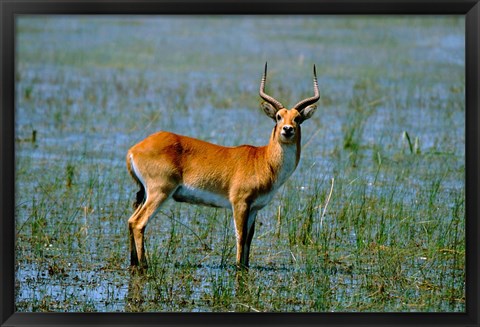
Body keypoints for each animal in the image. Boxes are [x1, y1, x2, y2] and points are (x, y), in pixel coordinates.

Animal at [127, 62, 320, 270]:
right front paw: (238, 267)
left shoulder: (254, 208)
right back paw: (144, 266)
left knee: (131, 220)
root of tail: (134, 149)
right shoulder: (240, 203)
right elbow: (240, 236)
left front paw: (245, 266)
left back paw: (133, 263)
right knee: (138, 223)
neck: (264, 160)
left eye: (297, 118)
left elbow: (249, 239)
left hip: (145, 193)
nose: (287, 129)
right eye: (278, 116)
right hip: (159, 192)